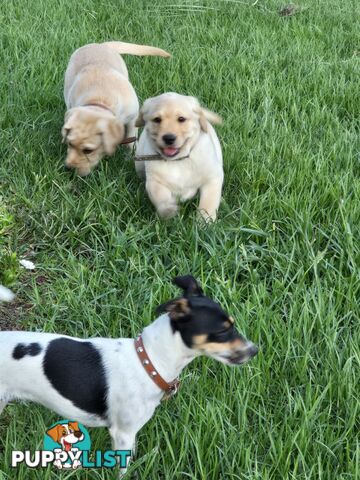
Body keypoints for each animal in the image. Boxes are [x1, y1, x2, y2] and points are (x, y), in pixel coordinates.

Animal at [62, 41, 171, 176]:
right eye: (70, 144)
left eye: (88, 150)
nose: (69, 169)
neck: (99, 101)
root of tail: (100, 44)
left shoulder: (133, 117)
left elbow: (130, 139)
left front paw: (131, 154)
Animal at [135, 92, 222, 221]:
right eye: (157, 119)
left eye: (181, 119)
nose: (169, 138)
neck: (178, 161)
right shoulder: (154, 181)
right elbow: (161, 197)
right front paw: (168, 210)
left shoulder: (213, 178)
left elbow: (208, 203)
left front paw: (204, 222)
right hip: (139, 162)